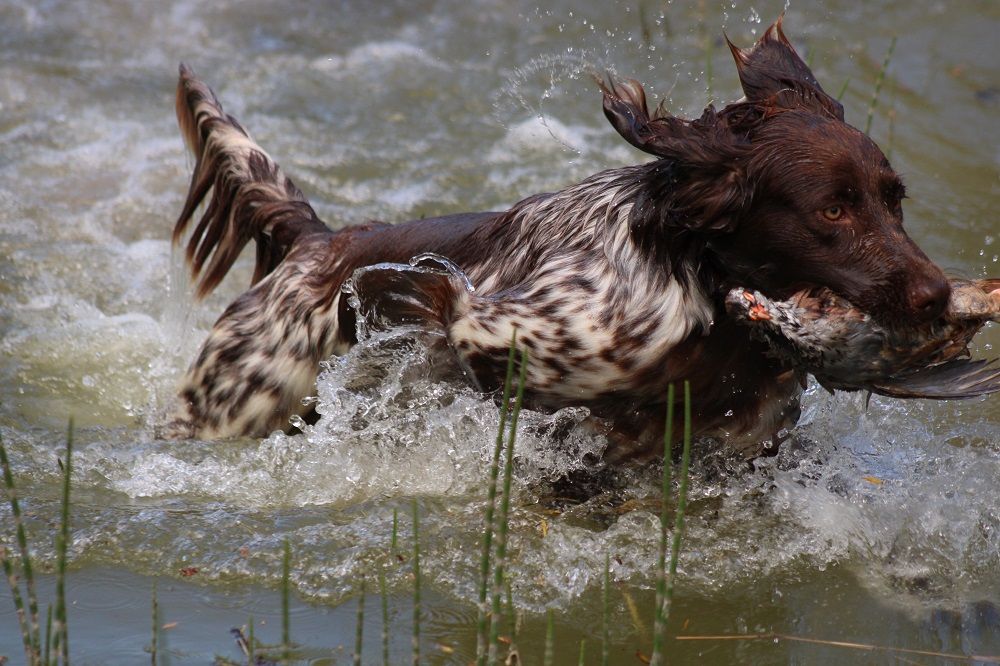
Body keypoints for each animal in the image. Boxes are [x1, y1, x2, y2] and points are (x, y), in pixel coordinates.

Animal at [166, 18, 952, 460]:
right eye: (833, 210)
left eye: (894, 200)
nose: (938, 297)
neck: (701, 284)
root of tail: (315, 242)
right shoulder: (515, 336)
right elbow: (452, 305)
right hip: (228, 406)